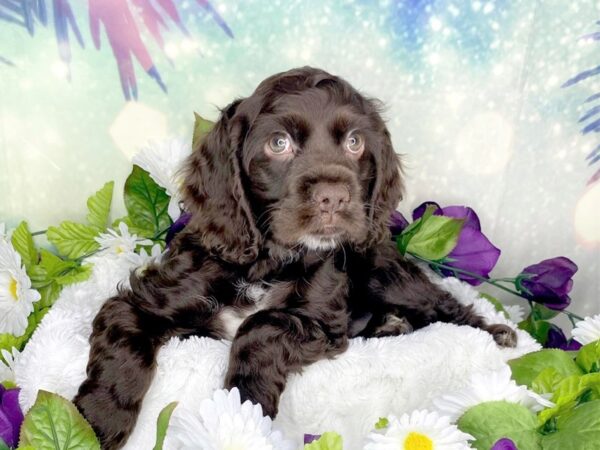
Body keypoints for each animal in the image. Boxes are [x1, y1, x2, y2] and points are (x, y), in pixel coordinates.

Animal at [75, 67, 516, 450]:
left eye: (355, 142)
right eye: (278, 143)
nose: (334, 197)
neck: (267, 260)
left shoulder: (322, 322)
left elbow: (261, 324)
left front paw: (243, 408)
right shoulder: (143, 300)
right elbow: (122, 342)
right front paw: (95, 423)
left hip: (381, 270)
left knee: (443, 304)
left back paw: (495, 333)